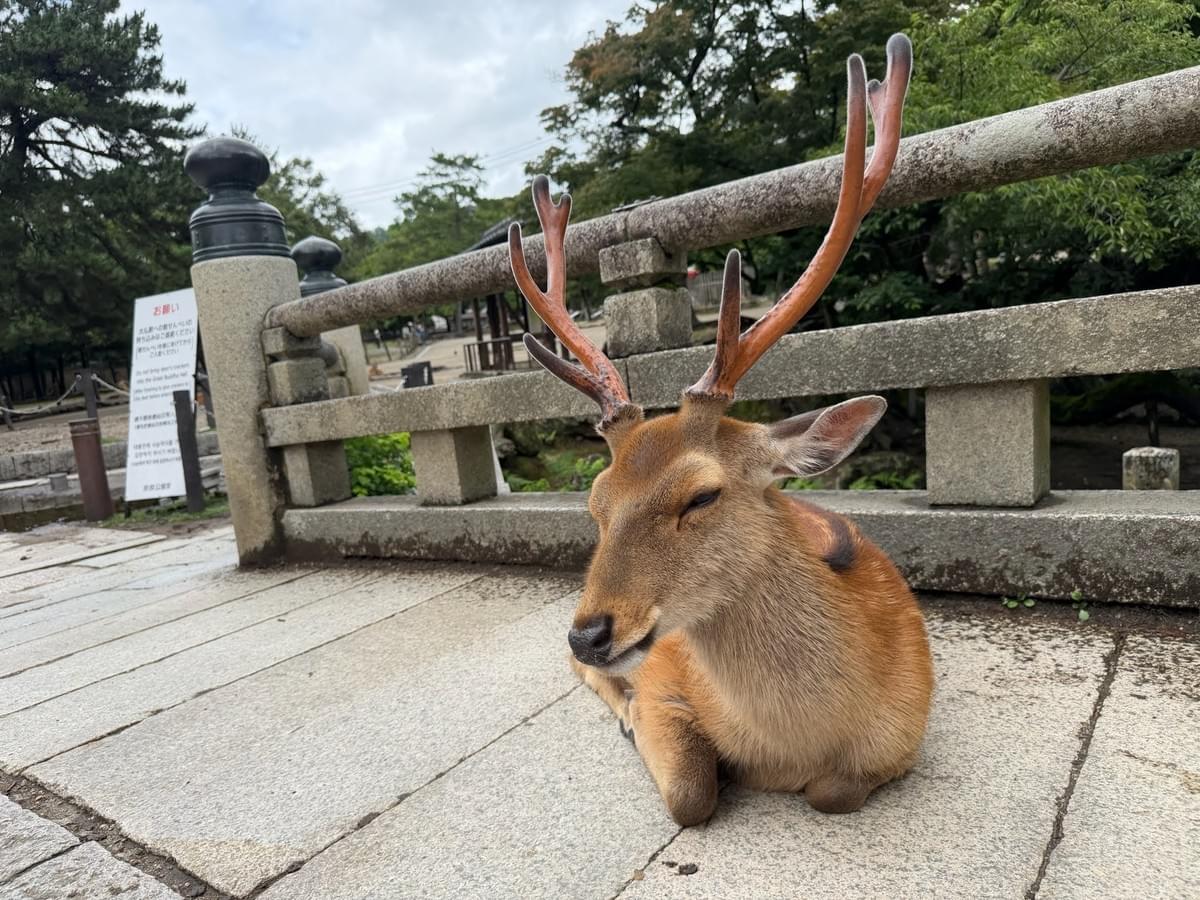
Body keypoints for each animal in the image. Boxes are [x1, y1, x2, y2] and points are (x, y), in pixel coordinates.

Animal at [507, 33, 932, 827]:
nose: (590, 630)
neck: (792, 748)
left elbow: (834, 793)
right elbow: (689, 795)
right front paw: (637, 721)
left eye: (700, 496)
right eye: (594, 505)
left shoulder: (903, 739)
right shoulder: (666, 677)